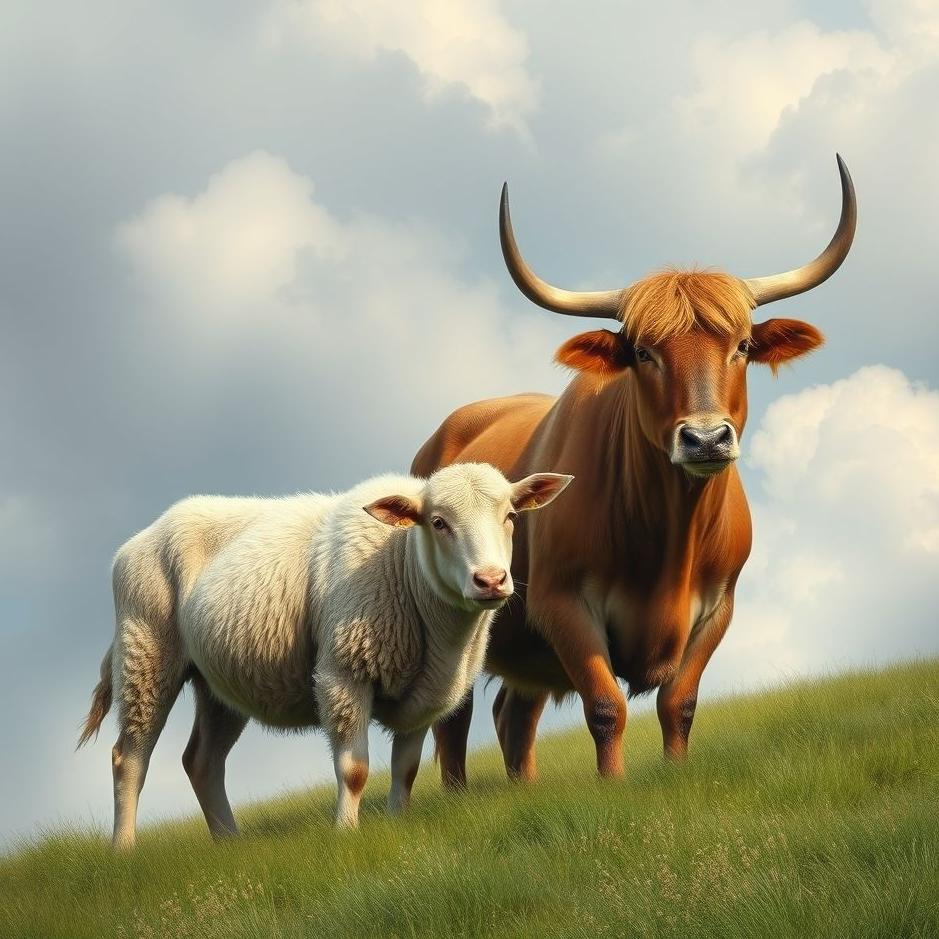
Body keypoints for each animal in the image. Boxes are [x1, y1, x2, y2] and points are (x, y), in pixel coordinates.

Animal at [78, 463, 573, 846]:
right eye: (438, 522)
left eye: (511, 515)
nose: (490, 580)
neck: (404, 566)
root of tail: (139, 539)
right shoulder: (343, 672)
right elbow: (354, 770)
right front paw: (346, 834)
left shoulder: (426, 693)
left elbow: (407, 769)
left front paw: (397, 823)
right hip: (147, 651)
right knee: (129, 758)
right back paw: (124, 850)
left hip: (218, 681)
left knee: (202, 762)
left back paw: (230, 845)